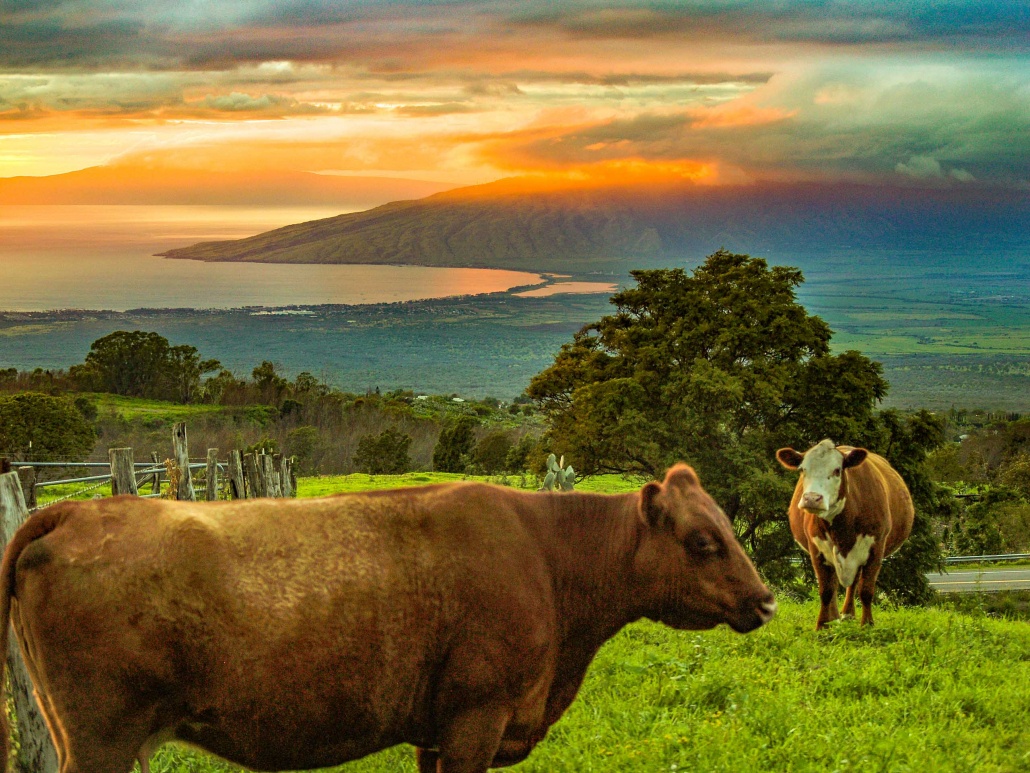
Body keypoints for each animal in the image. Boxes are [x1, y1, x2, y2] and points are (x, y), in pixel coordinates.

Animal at [0, 465, 774, 773]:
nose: (765, 599)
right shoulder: (476, 718)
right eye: (703, 540)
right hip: (99, 739)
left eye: (726, 526)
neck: (547, 557)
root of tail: (77, 509)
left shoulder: (436, 731)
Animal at [774, 441, 914, 630]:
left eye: (837, 470)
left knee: (853, 582)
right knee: (833, 584)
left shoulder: (876, 549)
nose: (812, 499)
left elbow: (866, 590)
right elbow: (826, 590)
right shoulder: (816, 549)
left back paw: (847, 613)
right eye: (802, 469)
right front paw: (822, 625)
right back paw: (834, 616)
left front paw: (867, 624)